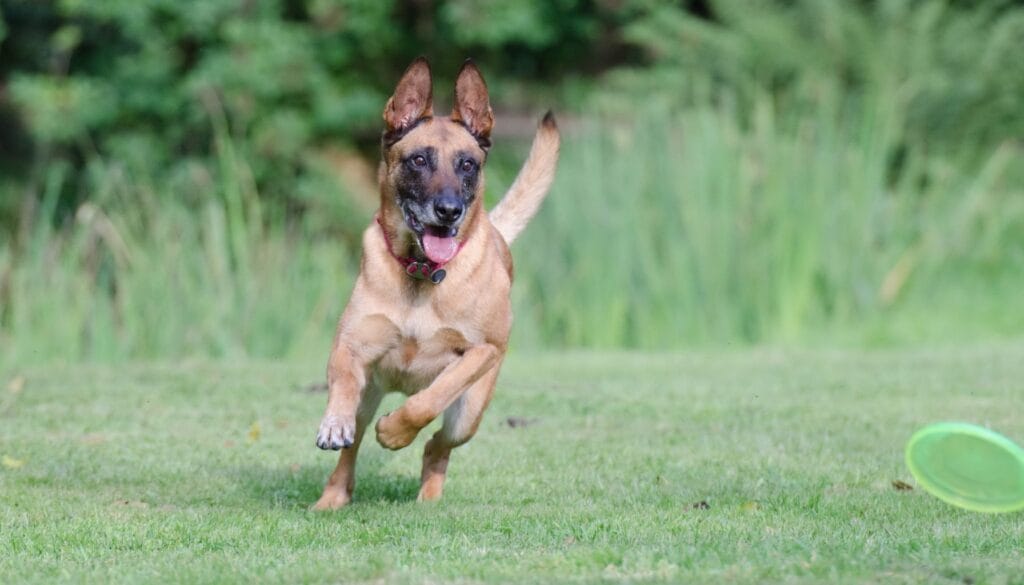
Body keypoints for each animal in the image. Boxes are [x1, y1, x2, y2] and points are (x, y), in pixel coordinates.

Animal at [311, 57, 561, 510]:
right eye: (418, 160)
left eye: (467, 164)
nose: (448, 210)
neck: (422, 274)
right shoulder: (352, 345)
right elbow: (342, 381)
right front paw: (333, 423)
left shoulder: (482, 352)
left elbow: (431, 397)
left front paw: (395, 432)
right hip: (370, 395)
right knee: (353, 448)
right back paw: (332, 497)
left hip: (469, 415)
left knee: (437, 445)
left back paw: (427, 496)